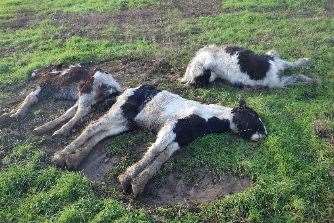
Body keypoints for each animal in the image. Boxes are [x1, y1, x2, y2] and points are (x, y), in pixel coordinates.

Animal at [51, 84, 266, 197]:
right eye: (253, 118)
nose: (264, 135)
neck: (205, 117)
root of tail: (126, 90)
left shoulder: (178, 139)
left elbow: (161, 158)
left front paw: (138, 183)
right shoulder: (170, 128)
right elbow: (154, 152)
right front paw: (126, 179)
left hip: (125, 123)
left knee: (100, 134)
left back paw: (74, 159)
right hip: (119, 113)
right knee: (92, 127)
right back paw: (61, 156)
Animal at [180, 44, 314, 87]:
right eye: (205, 79)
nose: (210, 79)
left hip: (278, 68)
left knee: (292, 66)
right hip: (278, 80)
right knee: (294, 75)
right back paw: (310, 78)